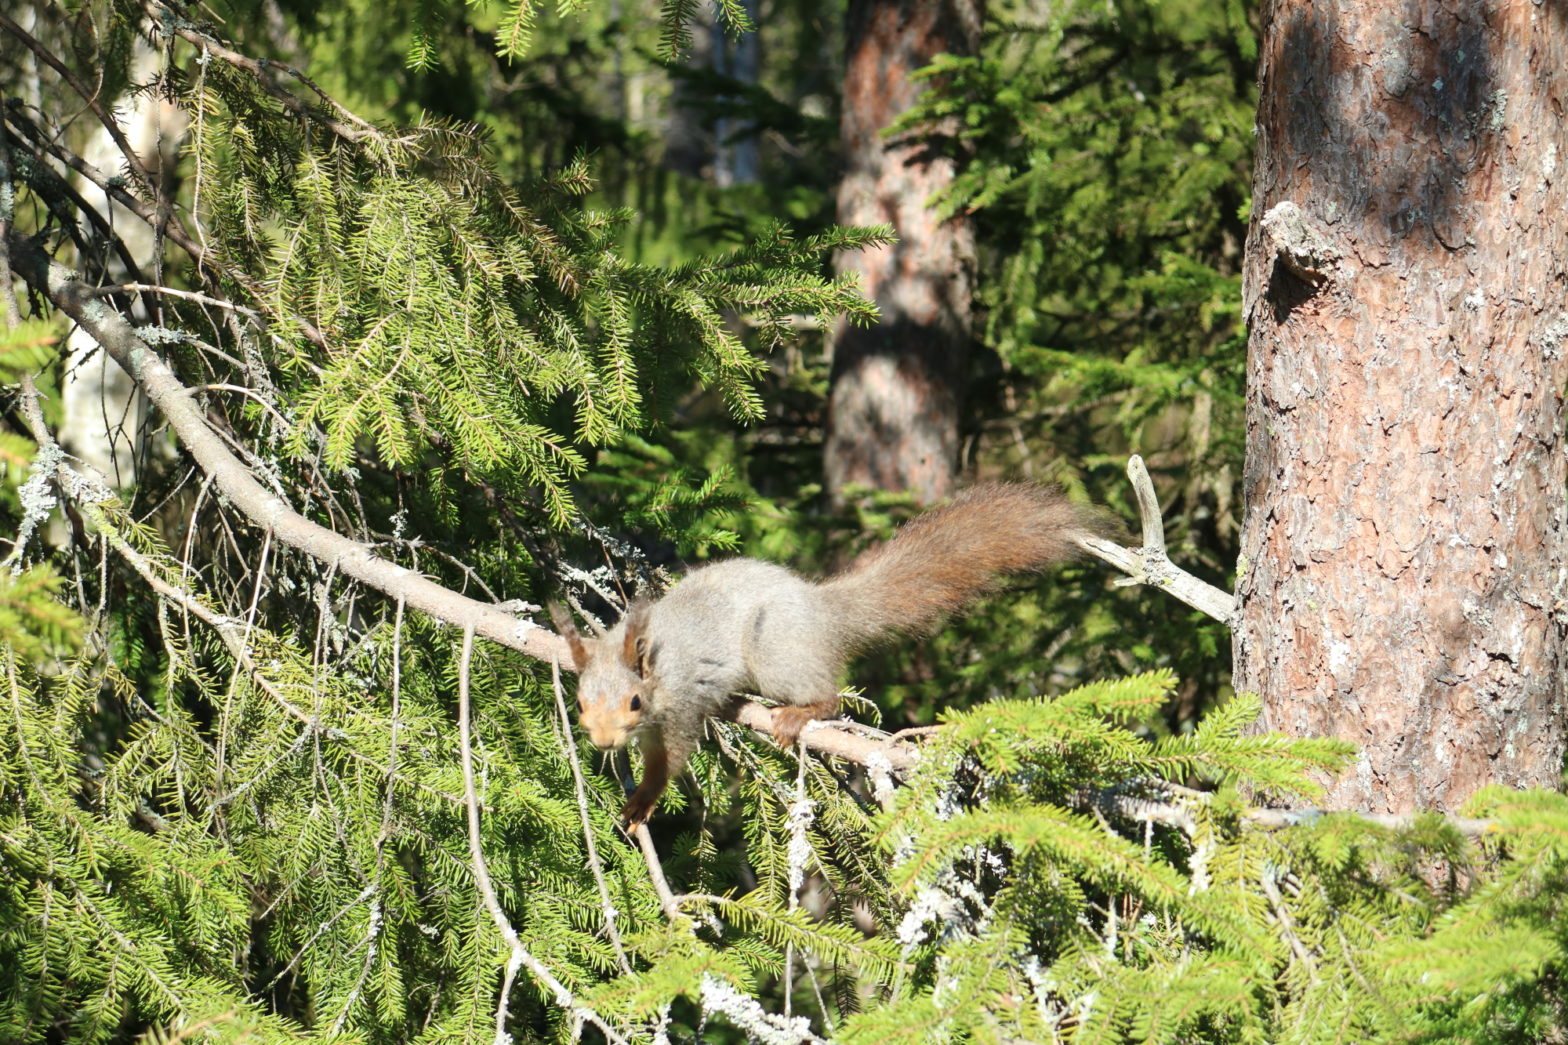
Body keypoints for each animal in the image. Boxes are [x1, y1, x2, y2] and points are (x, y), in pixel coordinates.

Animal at [551, 483, 1116, 828]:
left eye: (634, 703)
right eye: (579, 705)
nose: (603, 741)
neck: (653, 666)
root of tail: (822, 610)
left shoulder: (683, 703)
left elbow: (671, 758)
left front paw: (642, 802)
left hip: (774, 651)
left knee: (829, 697)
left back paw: (800, 713)